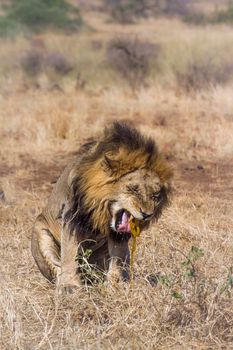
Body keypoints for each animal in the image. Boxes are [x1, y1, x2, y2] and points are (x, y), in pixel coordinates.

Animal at [31, 121, 173, 294]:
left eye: (155, 195)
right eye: (133, 189)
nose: (147, 214)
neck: (102, 210)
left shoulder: (118, 235)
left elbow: (118, 257)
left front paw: (117, 285)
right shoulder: (72, 219)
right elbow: (69, 254)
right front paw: (69, 286)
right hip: (40, 232)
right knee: (56, 268)